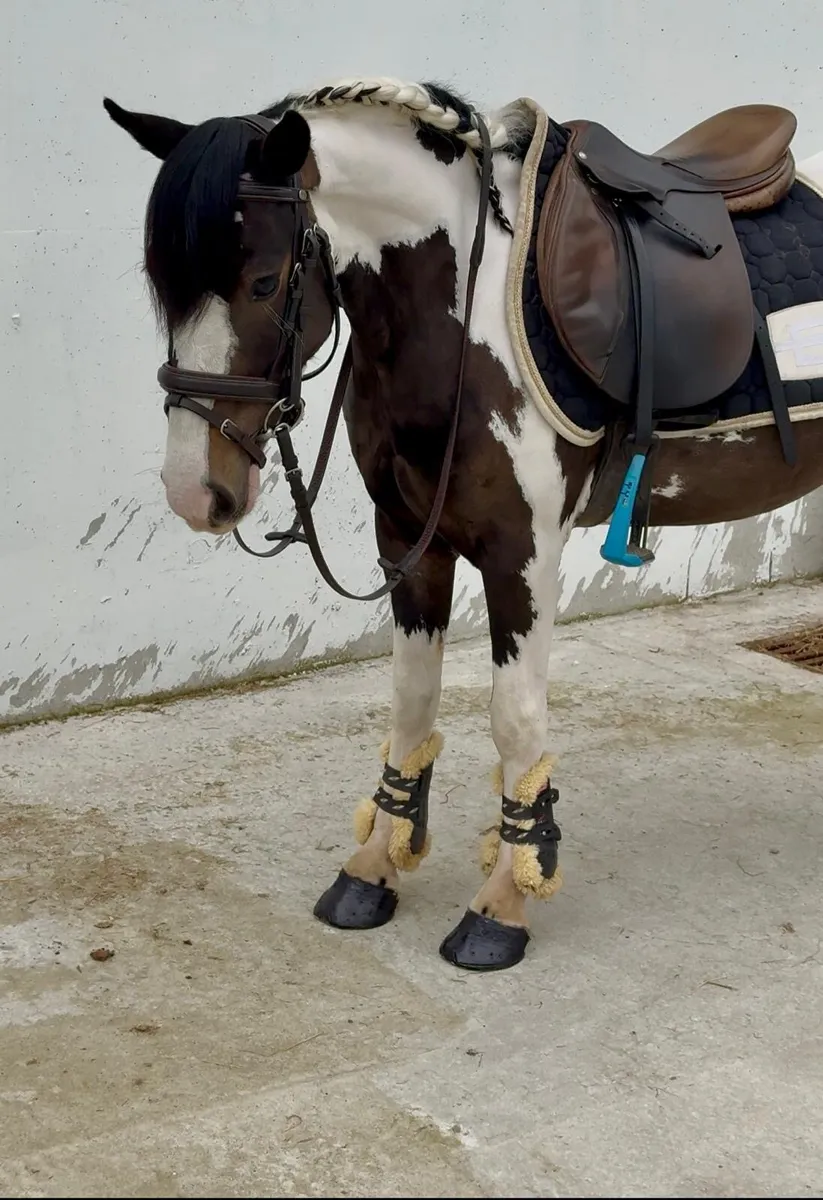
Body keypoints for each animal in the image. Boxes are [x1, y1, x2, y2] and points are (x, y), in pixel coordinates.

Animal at [104, 77, 823, 971]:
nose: (195, 491)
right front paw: (374, 867)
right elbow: (412, 699)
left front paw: (504, 901)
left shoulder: (523, 554)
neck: (460, 319)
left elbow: (514, 719)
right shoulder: (408, 543)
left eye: (265, 282)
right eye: (160, 284)